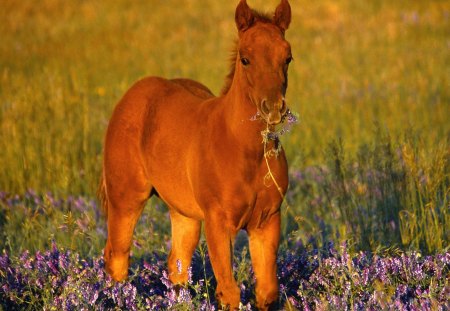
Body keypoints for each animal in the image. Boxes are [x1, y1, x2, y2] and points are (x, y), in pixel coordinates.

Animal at [99, 0, 292, 310]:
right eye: (245, 59)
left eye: (287, 57)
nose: (273, 108)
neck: (245, 152)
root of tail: (133, 94)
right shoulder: (218, 223)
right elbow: (229, 291)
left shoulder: (267, 220)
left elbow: (267, 292)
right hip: (126, 198)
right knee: (117, 259)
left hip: (183, 213)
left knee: (176, 266)